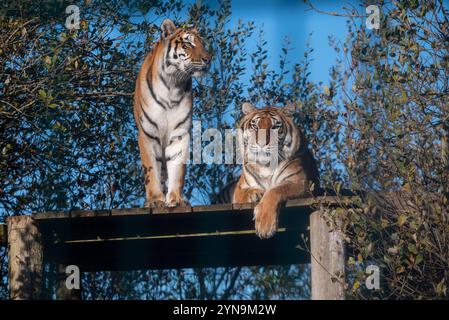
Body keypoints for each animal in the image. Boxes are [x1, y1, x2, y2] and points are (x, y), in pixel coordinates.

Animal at [132, 19, 211, 208]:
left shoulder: (180, 134)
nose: (208, 59)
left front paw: (176, 199)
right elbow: (151, 169)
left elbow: (177, 170)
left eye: (203, 44)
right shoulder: (148, 134)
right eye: (188, 44)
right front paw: (155, 200)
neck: (172, 84)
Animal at [221, 102, 318, 238]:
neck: (266, 165)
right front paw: (255, 193)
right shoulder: (239, 188)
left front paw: (264, 225)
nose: (262, 144)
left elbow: (275, 190)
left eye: (275, 127)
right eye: (255, 126)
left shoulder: (300, 182)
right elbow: (245, 192)